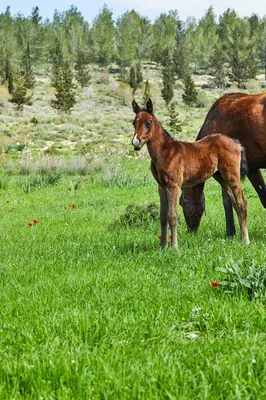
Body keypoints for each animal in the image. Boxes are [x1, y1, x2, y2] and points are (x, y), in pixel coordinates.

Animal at [132, 99, 250, 250]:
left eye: (148, 122)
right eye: (134, 123)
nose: (136, 142)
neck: (164, 152)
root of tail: (235, 143)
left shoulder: (174, 186)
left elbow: (172, 216)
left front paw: (174, 247)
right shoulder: (161, 187)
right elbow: (163, 217)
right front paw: (162, 246)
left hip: (232, 175)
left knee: (242, 203)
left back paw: (246, 240)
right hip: (221, 178)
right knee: (235, 203)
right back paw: (241, 238)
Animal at [182, 92, 266, 236]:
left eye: (181, 204)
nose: (190, 231)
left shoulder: (224, 172)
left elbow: (227, 201)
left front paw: (230, 231)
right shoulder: (253, 169)